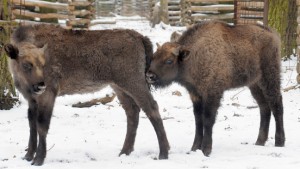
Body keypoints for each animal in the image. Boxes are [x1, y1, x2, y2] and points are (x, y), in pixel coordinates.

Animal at [4, 24, 170, 166]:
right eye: (26, 64)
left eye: (43, 64)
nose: (40, 85)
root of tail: (141, 37)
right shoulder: (31, 99)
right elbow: (31, 125)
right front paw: (27, 156)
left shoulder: (48, 95)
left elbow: (42, 125)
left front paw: (38, 159)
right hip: (118, 86)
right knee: (132, 111)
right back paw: (124, 152)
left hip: (133, 82)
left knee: (151, 107)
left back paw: (163, 153)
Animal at [146, 20, 284, 157]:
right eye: (154, 57)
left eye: (169, 61)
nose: (150, 76)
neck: (194, 55)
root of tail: (272, 34)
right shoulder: (196, 95)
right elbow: (198, 120)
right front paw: (194, 148)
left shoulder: (212, 93)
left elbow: (208, 119)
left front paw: (206, 150)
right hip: (254, 85)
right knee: (264, 108)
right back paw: (259, 142)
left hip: (269, 78)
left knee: (277, 105)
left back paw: (279, 142)